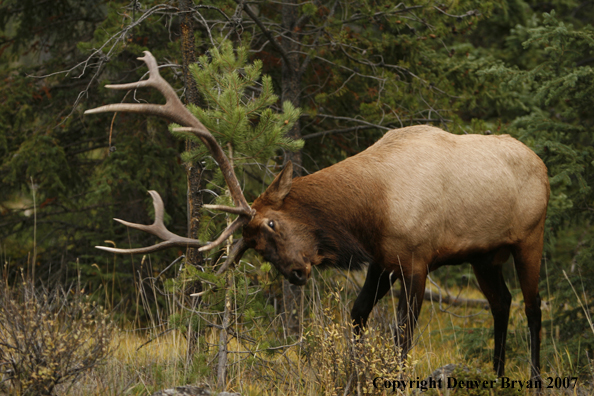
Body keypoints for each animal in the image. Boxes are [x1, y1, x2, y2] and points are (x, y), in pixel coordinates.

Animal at [85, 51, 548, 380]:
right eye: (255, 249)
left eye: (271, 223)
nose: (295, 273)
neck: (373, 209)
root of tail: (543, 165)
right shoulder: (382, 260)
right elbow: (357, 316)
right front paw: (353, 375)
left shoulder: (417, 259)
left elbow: (402, 338)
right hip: (484, 256)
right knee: (502, 303)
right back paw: (498, 374)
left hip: (530, 237)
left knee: (532, 306)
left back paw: (535, 377)